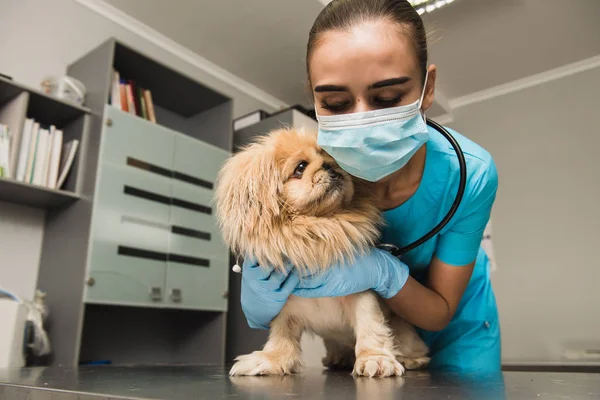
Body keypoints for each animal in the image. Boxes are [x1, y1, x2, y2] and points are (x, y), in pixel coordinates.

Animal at [213, 126, 428, 376]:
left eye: (334, 159)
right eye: (300, 167)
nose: (330, 165)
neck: (318, 230)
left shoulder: (362, 295)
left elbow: (370, 327)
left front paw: (376, 359)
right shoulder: (284, 307)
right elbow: (281, 338)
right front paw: (270, 360)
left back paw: (410, 360)